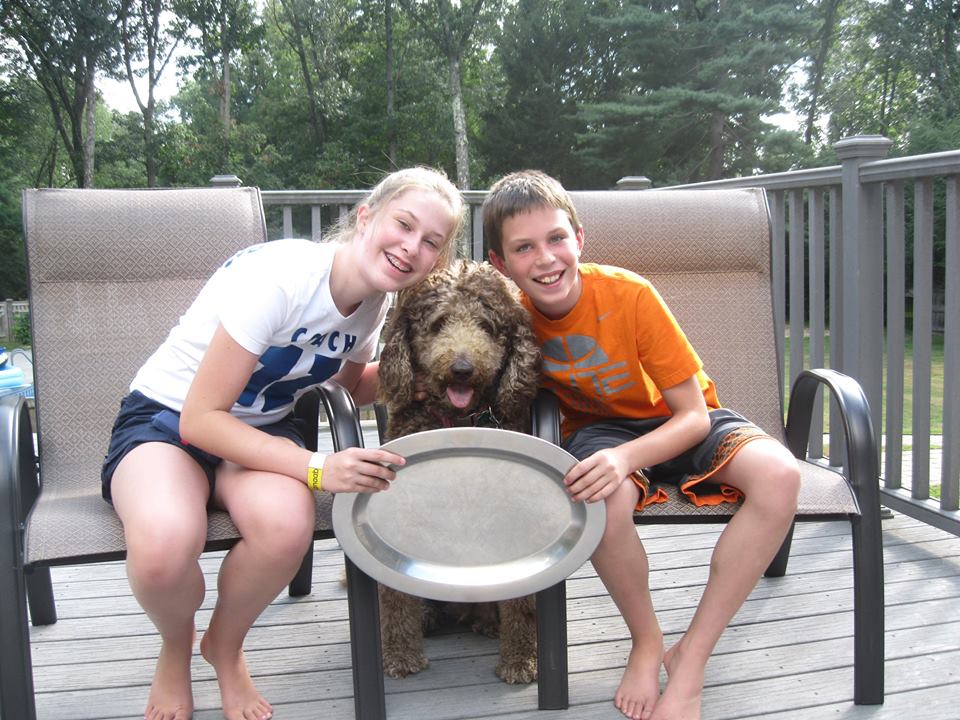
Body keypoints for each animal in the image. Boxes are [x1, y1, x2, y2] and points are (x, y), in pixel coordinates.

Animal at [376, 260, 542, 683]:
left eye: (487, 325)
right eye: (438, 324)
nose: (462, 368)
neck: (458, 425)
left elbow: (523, 603)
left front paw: (521, 659)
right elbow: (395, 598)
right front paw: (401, 655)